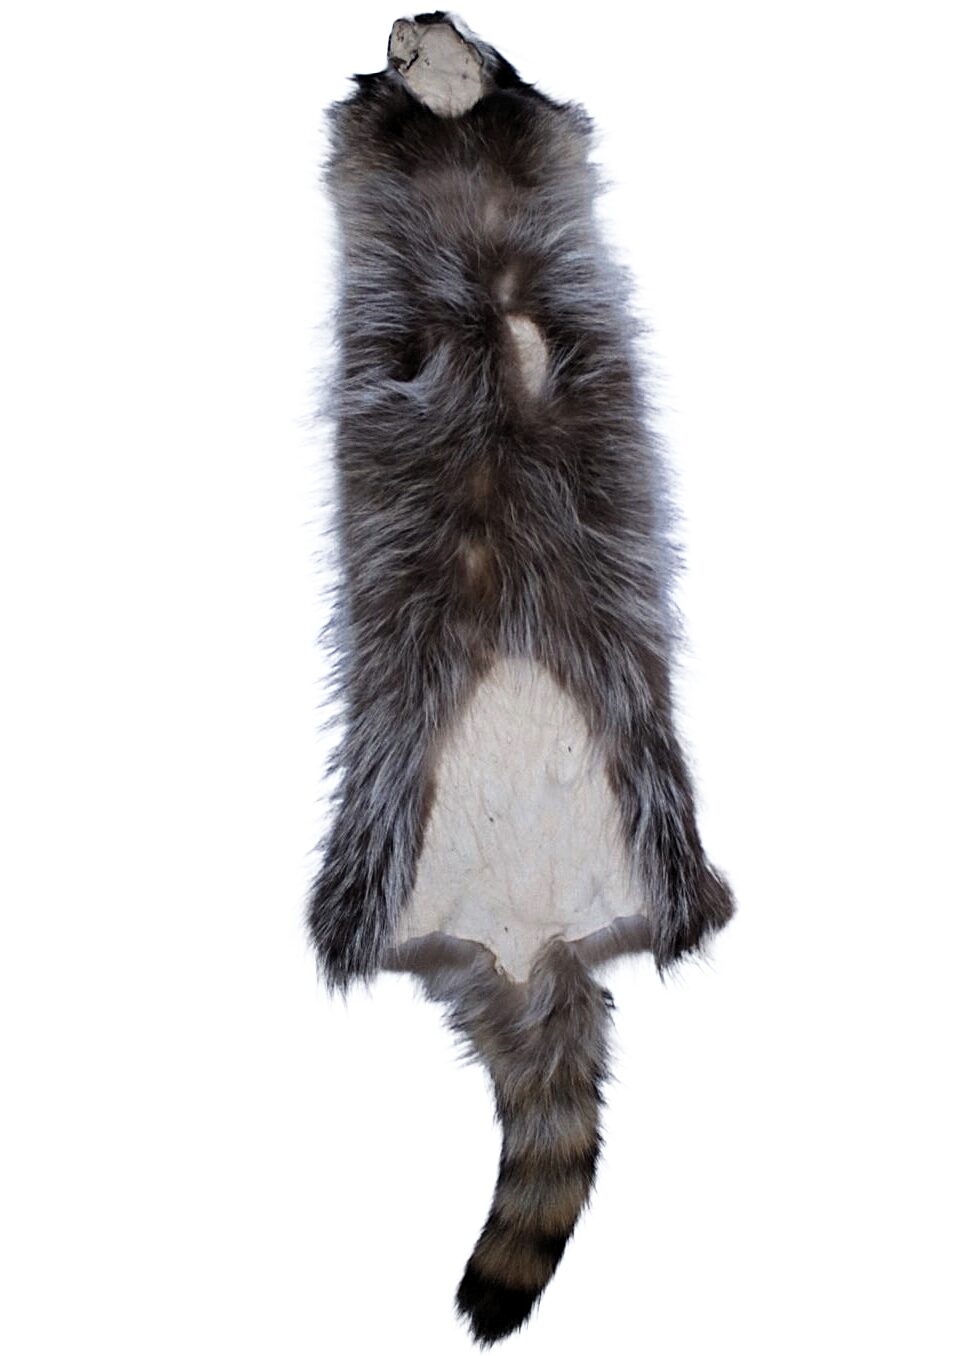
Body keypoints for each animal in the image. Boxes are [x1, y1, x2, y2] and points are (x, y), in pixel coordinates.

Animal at [308, 12, 734, 1343]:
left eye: (473, 23)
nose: (420, 19)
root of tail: (531, 946)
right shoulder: (393, 217)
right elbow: (372, 158)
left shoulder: (541, 177)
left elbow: (542, 124)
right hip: (380, 837)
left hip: (653, 805)